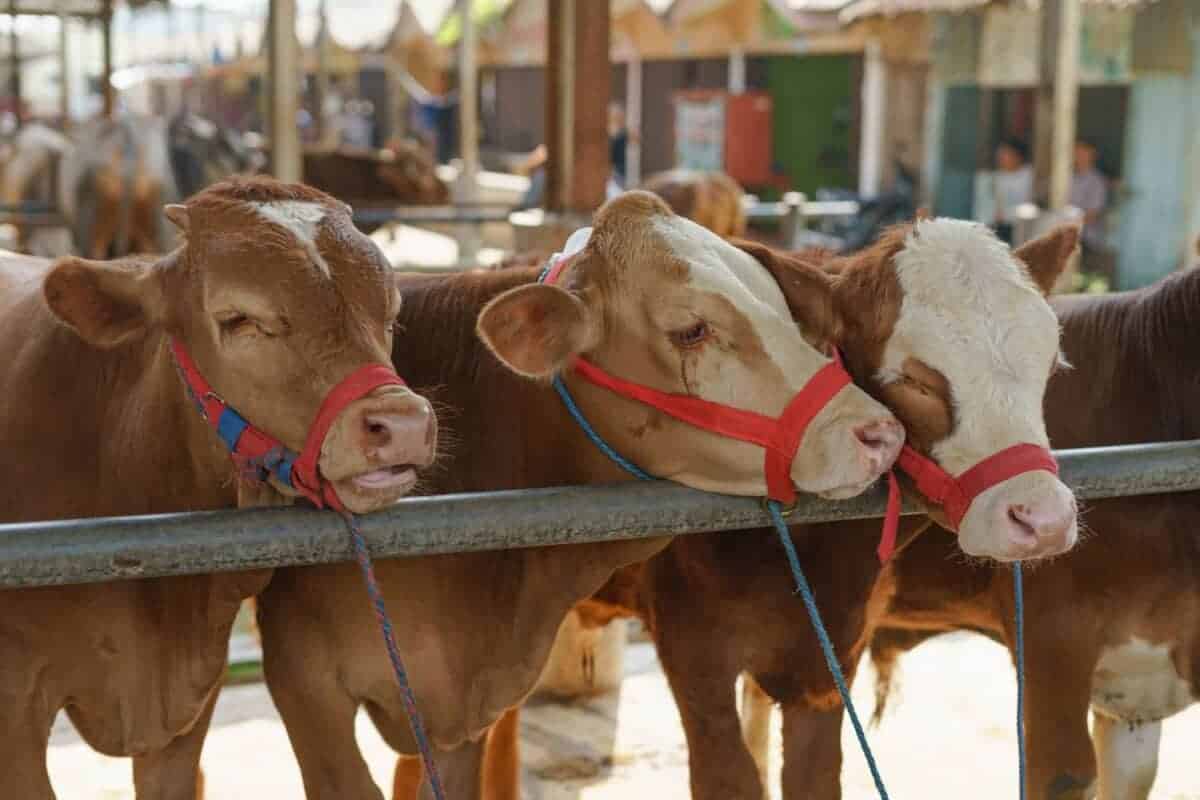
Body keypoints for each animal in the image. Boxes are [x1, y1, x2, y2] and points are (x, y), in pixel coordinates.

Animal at [437, 219, 1083, 800]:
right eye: (916, 381)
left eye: (1050, 367)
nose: (1042, 518)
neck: (808, 554)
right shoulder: (695, 655)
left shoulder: (830, 661)